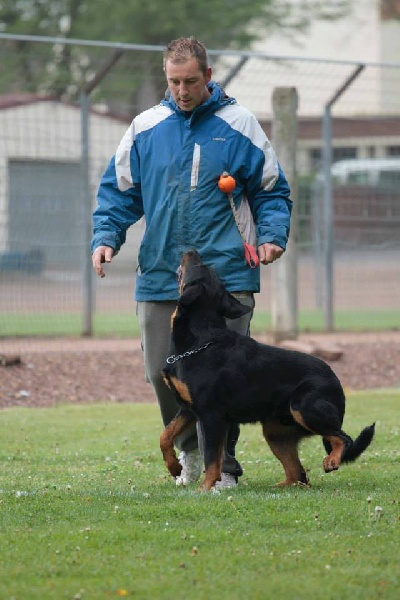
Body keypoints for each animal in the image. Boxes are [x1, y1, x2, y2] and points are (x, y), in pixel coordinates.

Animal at [160, 249, 375, 491]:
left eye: (199, 266)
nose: (192, 251)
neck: (199, 341)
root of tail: (337, 382)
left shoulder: (210, 415)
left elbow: (212, 458)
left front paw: (205, 489)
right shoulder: (188, 409)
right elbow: (165, 436)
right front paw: (174, 467)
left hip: (303, 407)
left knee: (343, 438)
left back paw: (332, 460)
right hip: (276, 433)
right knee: (298, 474)